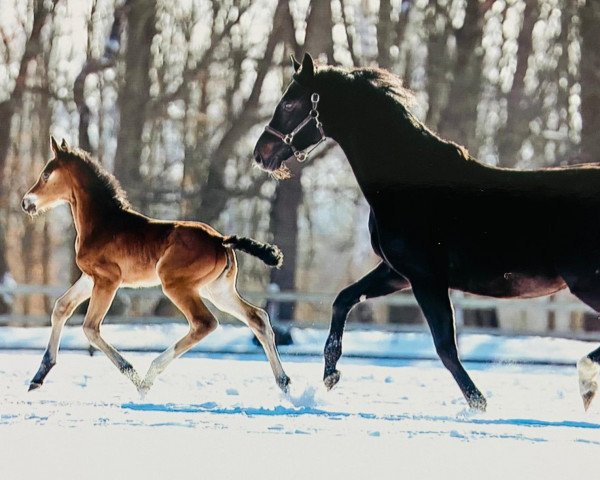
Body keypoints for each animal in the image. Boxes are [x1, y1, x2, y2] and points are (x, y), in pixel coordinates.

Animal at [21, 137, 288, 396]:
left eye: (46, 174)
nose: (26, 203)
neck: (102, 224)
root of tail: (220, 240)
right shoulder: (90, 278)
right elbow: (61, 308)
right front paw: (38, 377)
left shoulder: (108, 280)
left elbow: (90, 328)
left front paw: (132, 373)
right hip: (218, 290)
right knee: (258, 318)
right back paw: (284, 383)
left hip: (176, 285)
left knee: (205, 323)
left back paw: (148, 377)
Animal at [255, 53, 600, 412]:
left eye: (291, 103)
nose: (260, 154)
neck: (410, 185)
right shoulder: (397, 273)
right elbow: (343, 300)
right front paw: (330, 375)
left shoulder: (426, 279)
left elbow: (445, 347)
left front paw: (478, 403)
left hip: (587, 283)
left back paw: (586, 383)